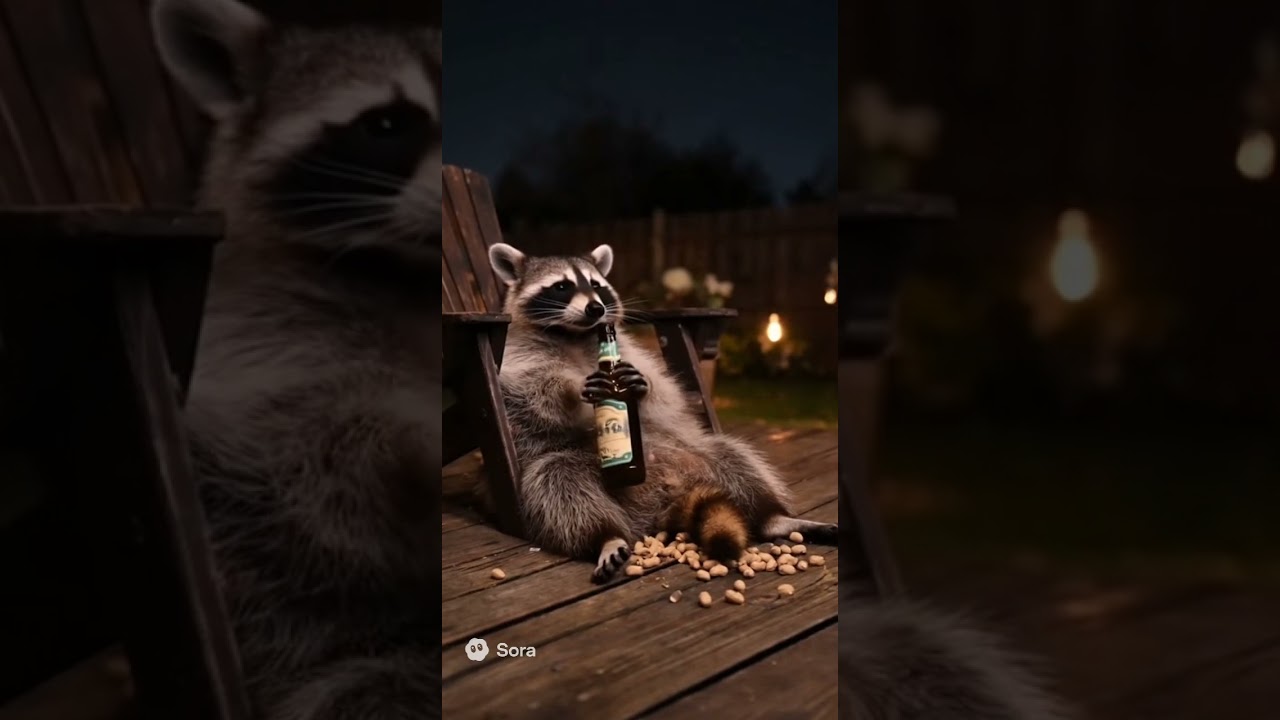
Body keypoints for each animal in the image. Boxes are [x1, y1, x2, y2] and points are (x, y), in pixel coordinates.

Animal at [485, 242, 837, 582]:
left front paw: (643, 388)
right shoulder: (517, 361)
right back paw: (605, 536)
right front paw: (570, 389)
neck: (575, 335)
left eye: (597, 285)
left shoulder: (632, 353)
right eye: (561, 286)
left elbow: (666, 397)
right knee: (559, 485)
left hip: (691, 456)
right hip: (574, 473)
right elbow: (536, 397)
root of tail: (662, 505)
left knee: (733, 457)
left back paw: (773, 517)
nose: (596, 308)